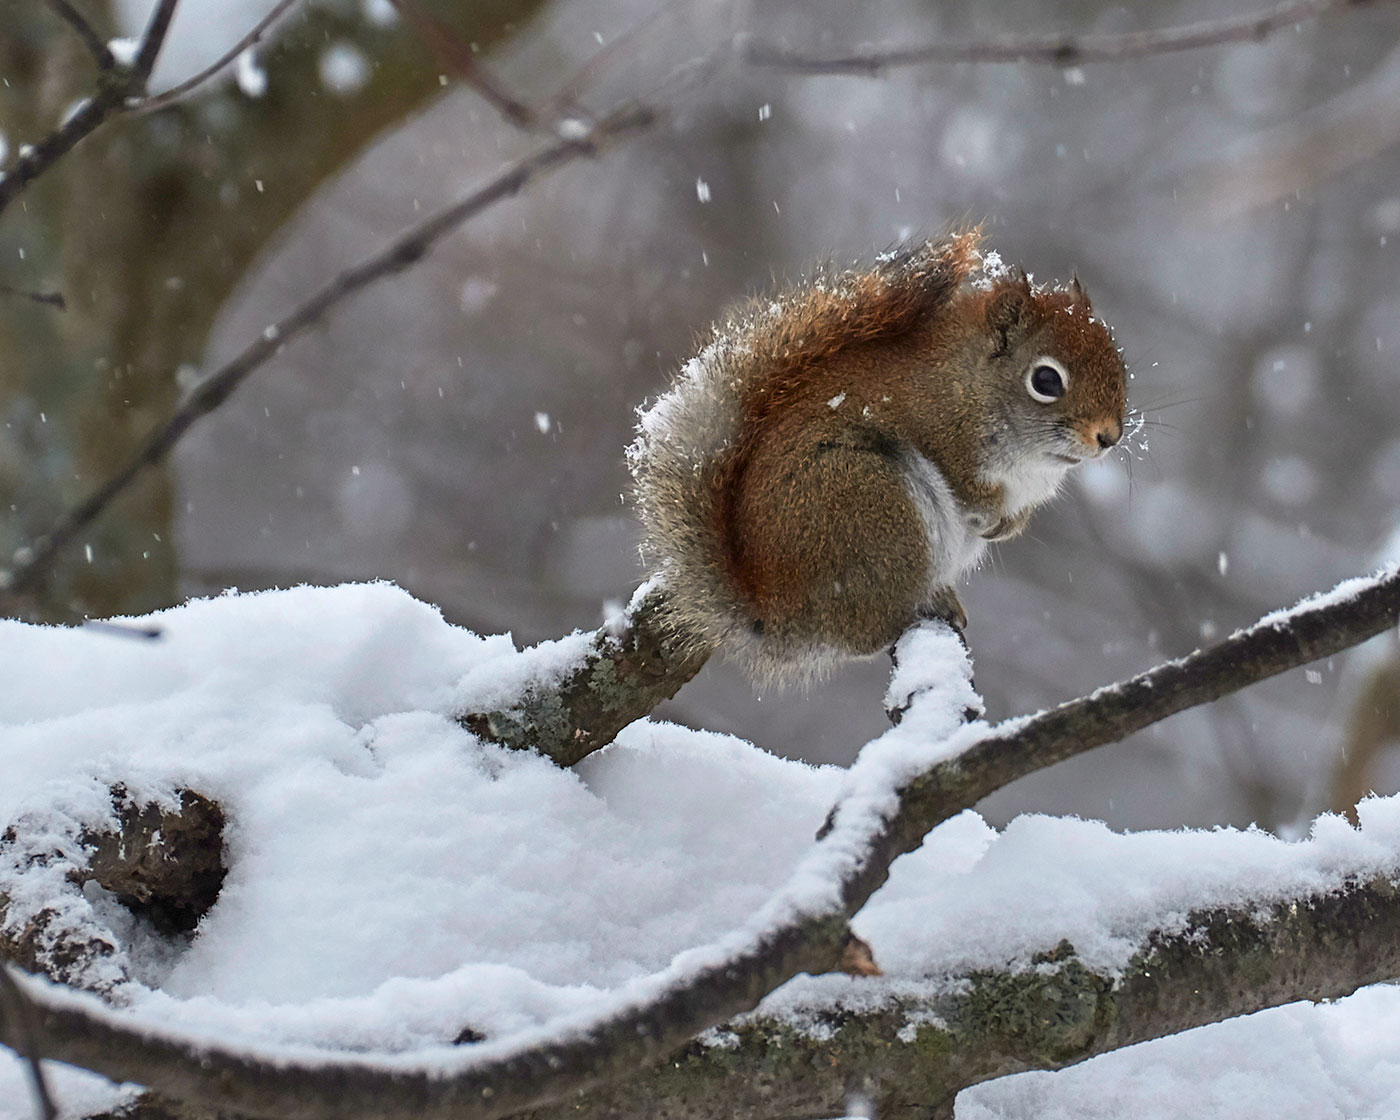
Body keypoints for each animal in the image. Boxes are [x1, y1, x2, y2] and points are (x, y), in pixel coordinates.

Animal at [630, 233, 1131, 683]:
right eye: (1046, 381)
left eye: (1117, 361)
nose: (1109, 436)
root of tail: (775, 611)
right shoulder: (938, 431)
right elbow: (967, 485)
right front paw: (990, 512)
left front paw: (1011, 524)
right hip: (872, 501)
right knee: (866, 630)